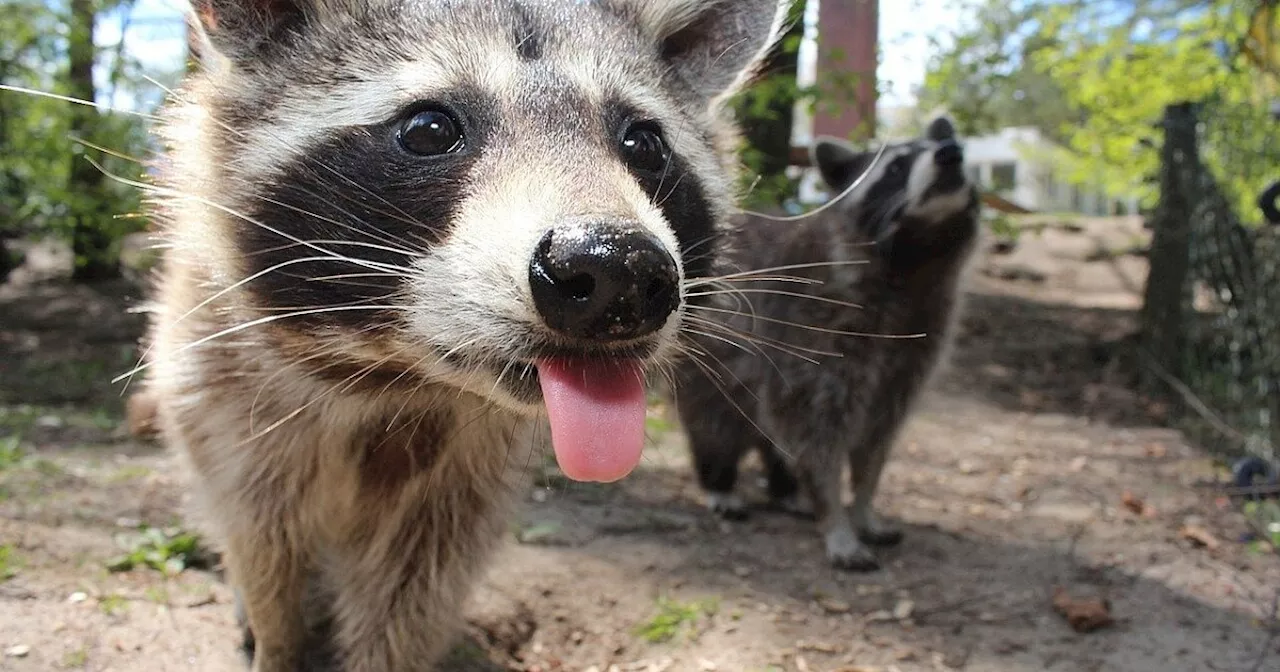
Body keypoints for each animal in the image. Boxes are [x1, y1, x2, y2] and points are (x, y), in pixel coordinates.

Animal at [132, 2, 788, 665]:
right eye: (429, 129)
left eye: (644, 143)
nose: (617, 271)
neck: (396, 375)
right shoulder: (228, 404)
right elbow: (265, 554)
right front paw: (280, 641)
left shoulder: (463, 482)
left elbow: (413, 593)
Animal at [675, 117, 983, 568]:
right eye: (896, 167)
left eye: (954, 146)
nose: (951, 153)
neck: (914, 260)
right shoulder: (811, 327)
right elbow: (815, 433)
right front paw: (835, 516)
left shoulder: (916, 345)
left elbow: (877, 438)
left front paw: (864, 505)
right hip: (708, 363)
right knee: (716, 424)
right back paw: (721, 482)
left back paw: (785, 489)